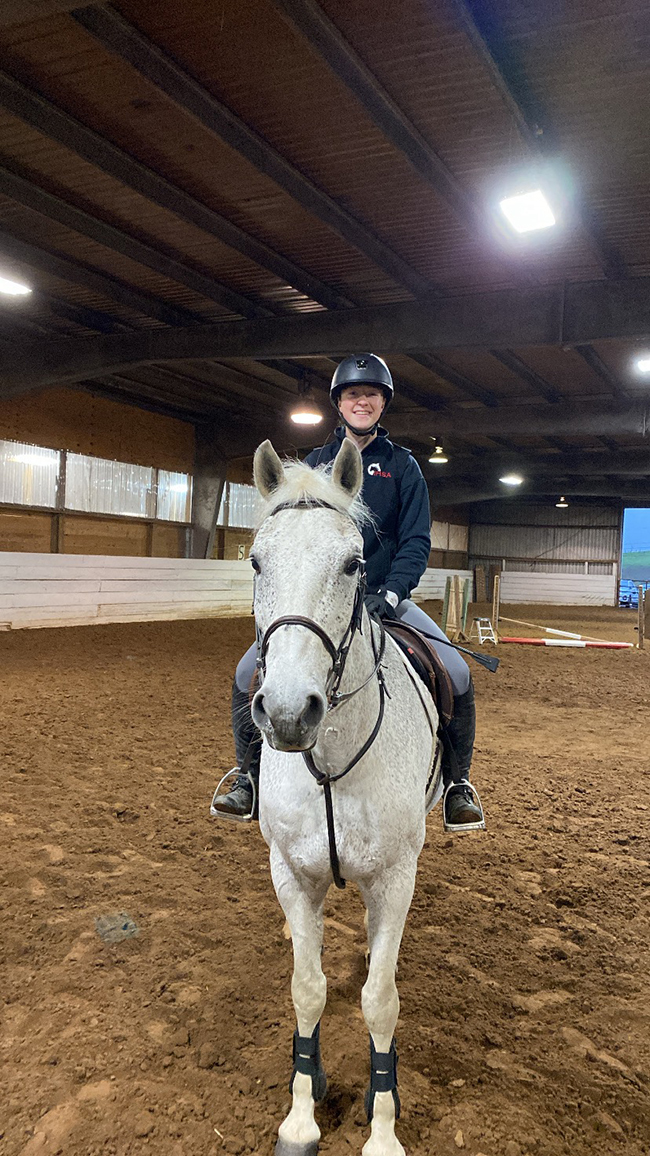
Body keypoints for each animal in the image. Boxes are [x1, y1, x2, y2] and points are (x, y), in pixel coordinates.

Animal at [249, 438, 442, 1156]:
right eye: (256, 560)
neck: (330, 757)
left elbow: (380, 1000)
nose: (286, 712)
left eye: (354, 563)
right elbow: (307, 990)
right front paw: (302, 1115)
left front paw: (382, 1126)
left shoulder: (393, 876)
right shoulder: (291, 872)